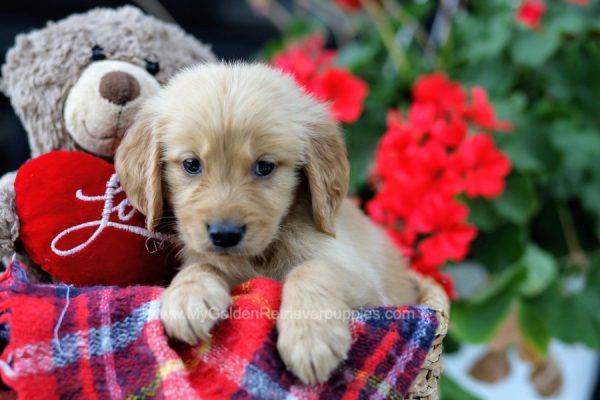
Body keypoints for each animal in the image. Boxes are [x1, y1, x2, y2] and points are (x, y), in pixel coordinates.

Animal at [116, 62, 418, 384]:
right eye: (191, 164)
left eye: (264, 167)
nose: (225, 235)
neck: (261, 255)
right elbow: (202, 264)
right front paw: (187, 295)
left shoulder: (368, 286)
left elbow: (312, 269)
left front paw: (309, 337)